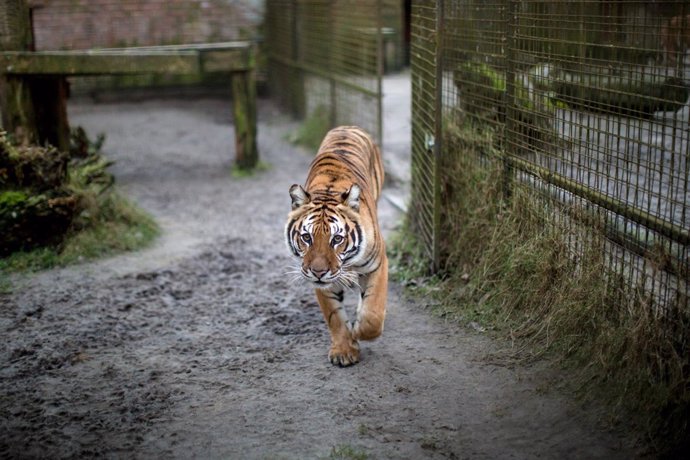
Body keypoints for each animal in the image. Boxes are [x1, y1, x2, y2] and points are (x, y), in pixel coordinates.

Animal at [282, 125, 384, 366]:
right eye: (306, 237)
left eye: (337, 239)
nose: (318, 272)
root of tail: (348, 126)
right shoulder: (321, 282)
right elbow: (334, 316)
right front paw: (344, 351)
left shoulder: (378, 262)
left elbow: (373, 314)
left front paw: (358, 330)